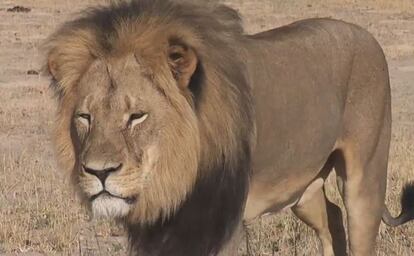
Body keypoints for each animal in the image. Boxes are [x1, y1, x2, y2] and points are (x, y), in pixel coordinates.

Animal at [43, 0, 412, 256]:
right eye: (85, 117)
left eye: (136, 116)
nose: (98, 172)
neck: (172, 179)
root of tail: (365, 34)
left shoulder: (222, 226)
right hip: (303, 191)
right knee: (332, 218)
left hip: (365, 181)